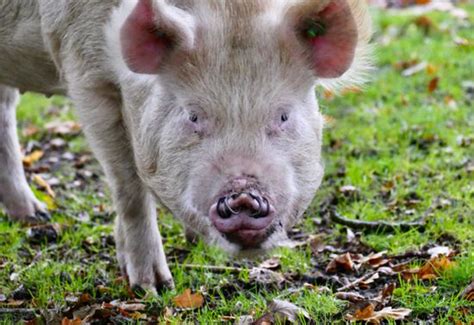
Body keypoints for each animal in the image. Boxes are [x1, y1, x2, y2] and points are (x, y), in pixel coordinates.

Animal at [0, 0, 372, 292]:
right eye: (193, 115)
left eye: (283, 115)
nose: (243, 195)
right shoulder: (85, 72)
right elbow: (129, 188)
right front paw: (153, 287)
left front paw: (190, 243)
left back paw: (35, 215)